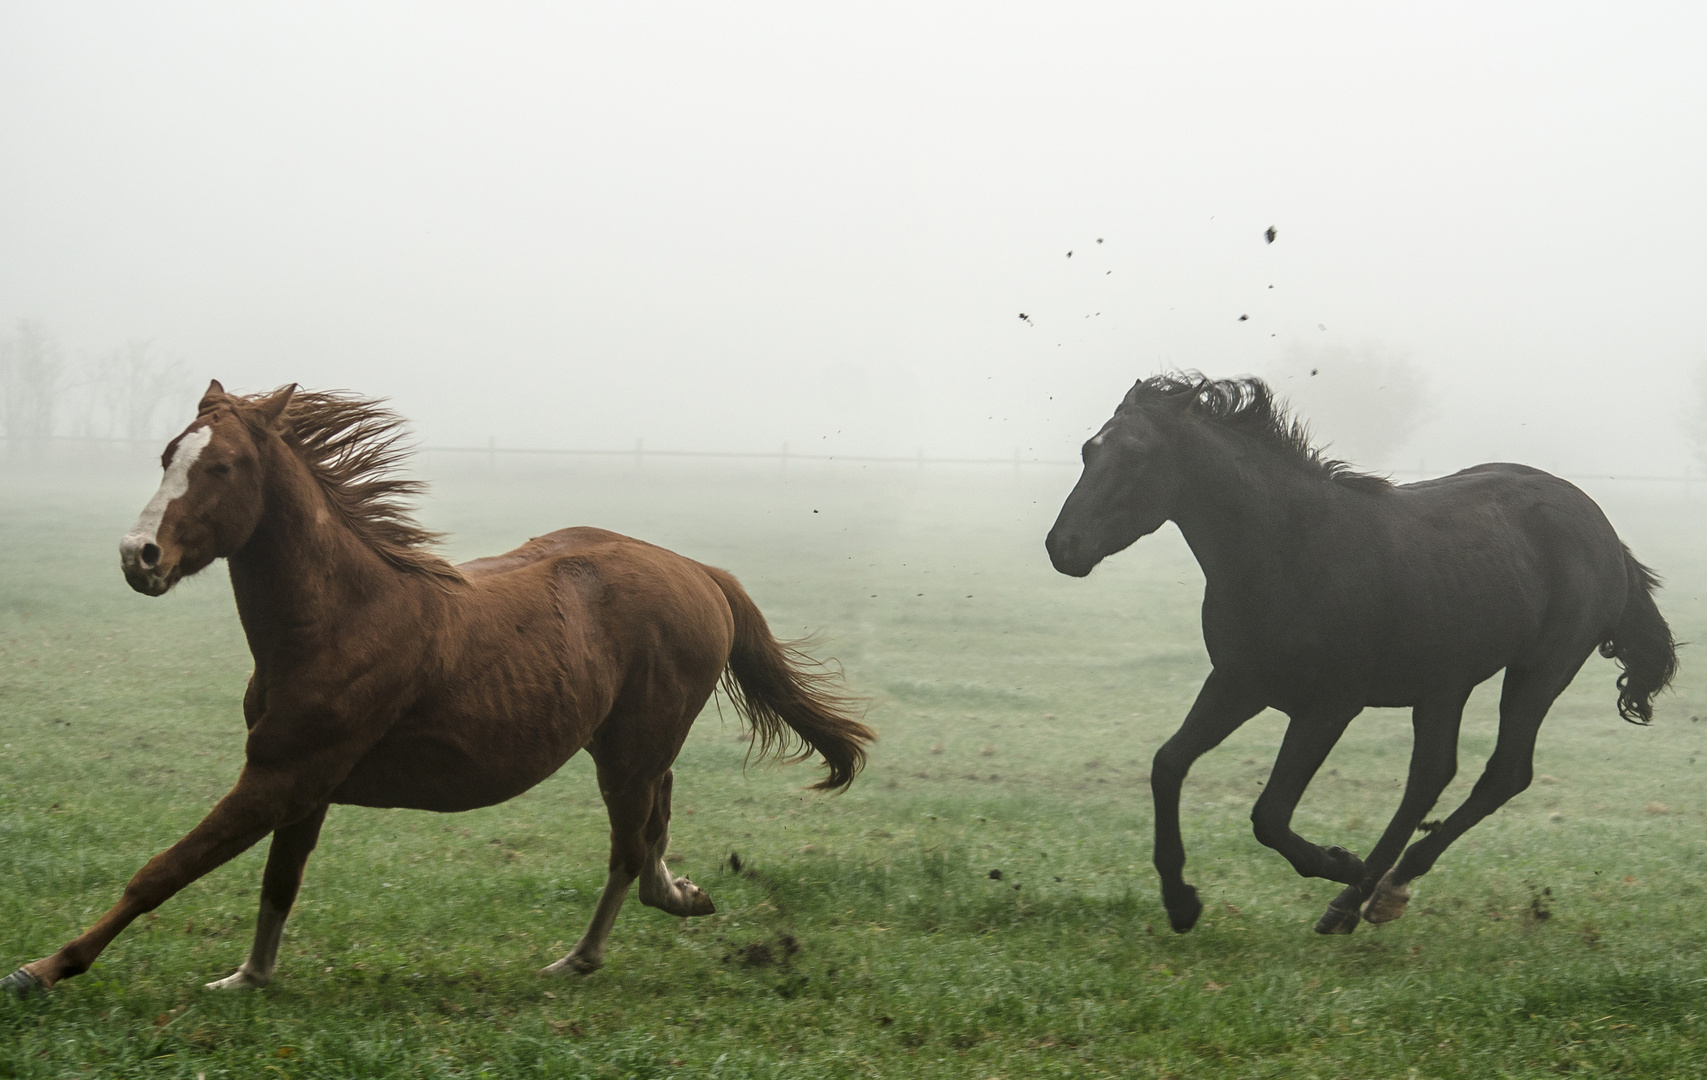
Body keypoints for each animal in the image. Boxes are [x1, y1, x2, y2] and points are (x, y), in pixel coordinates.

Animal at [0, 380, 873, 996]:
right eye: (165, 456)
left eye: (220, 466)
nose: (138, 555)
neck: (341, 616)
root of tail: (699, 571)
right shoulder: (302, 786)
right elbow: (279, 883)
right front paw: (247, 977)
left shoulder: (280, 776)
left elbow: (165, 869)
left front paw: (40, 971)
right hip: (627, 746)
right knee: (649, 832)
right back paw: (673, 900)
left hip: (632, 747)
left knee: (631, 845)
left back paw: (581, 957)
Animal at [1044, 375, 1672, 928]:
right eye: (1088, 450)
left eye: (1138, 456)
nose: (1061, 546)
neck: (1288, 548)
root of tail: (1606, 534)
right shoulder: (1238, 682)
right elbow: (1168, 764)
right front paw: (1180, 903)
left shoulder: (1329, 706)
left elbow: (1269, 815)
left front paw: (1338, 863)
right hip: (1445, 682)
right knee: (1432, 774)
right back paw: (1369, 897)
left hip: (1539, 671)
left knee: (1502, 773)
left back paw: (1367, 891)